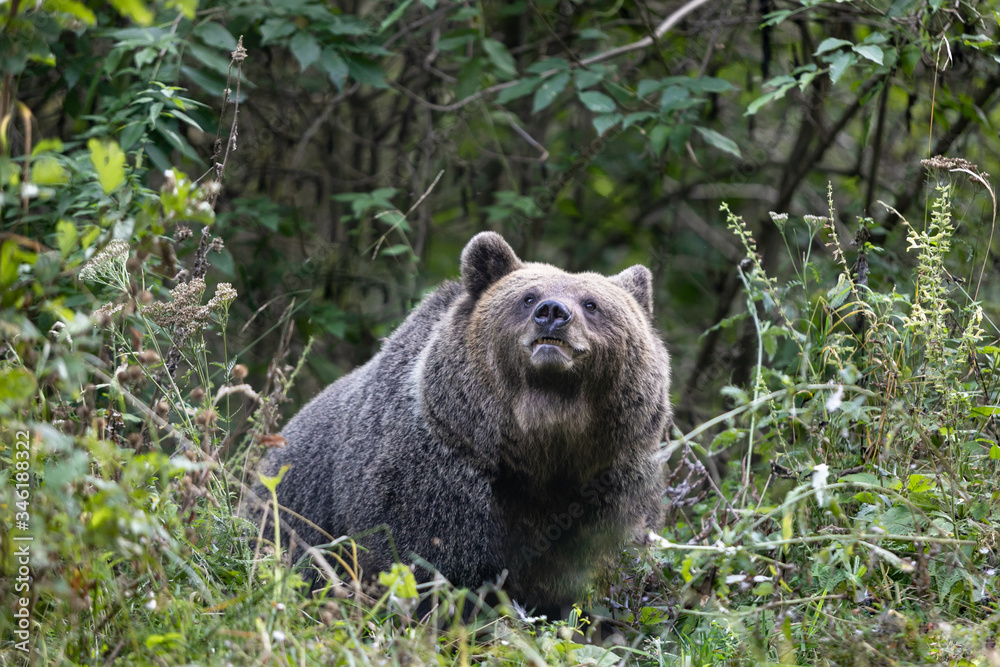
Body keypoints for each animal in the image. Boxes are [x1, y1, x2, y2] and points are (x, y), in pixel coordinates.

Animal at [250, 232, 671, 613]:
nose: (552, 313)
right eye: (528, 296)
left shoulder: (610, 485)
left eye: (591, 303)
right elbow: (421, 565)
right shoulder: (440, 475)